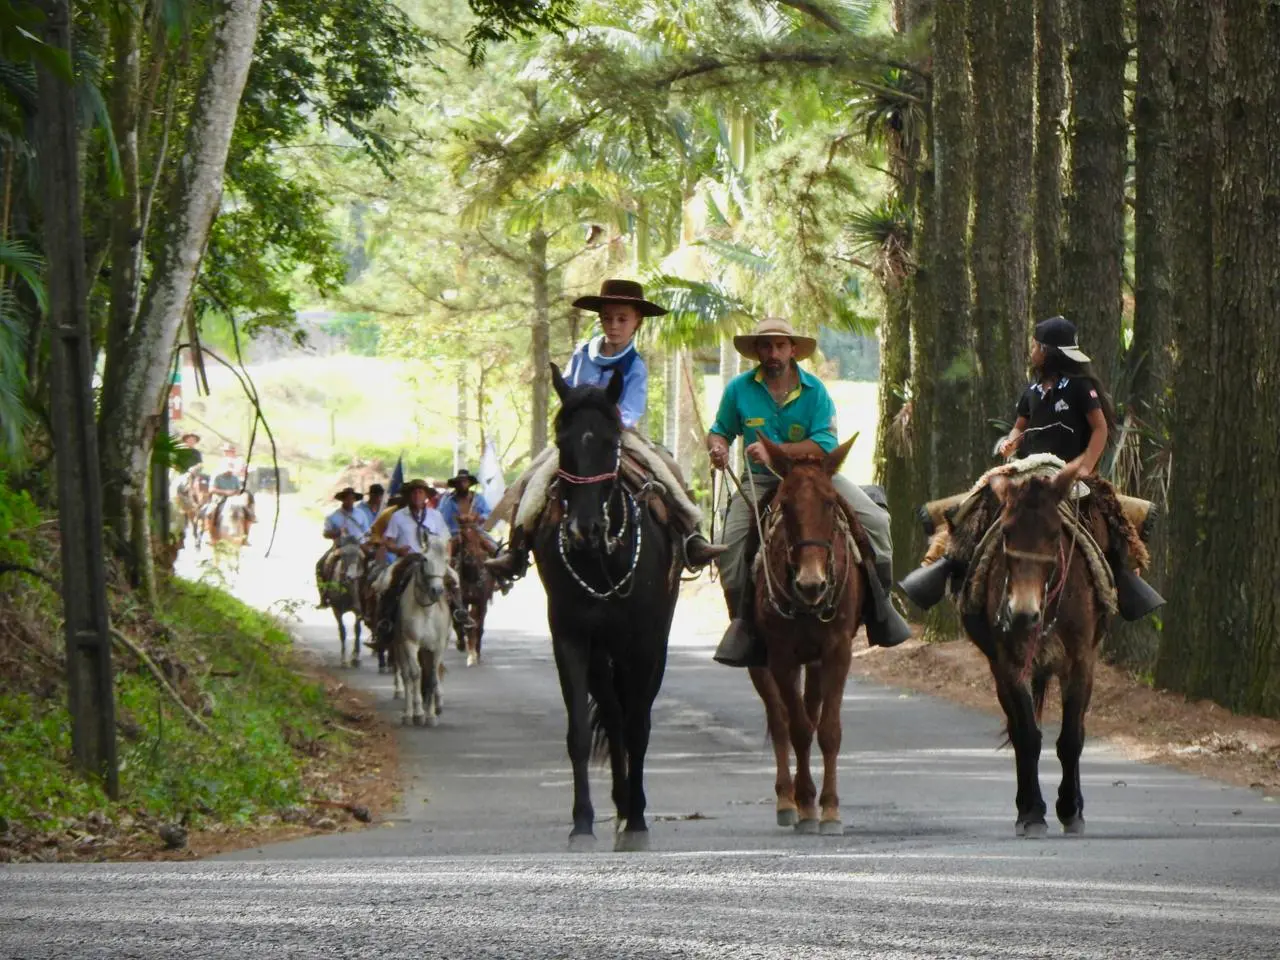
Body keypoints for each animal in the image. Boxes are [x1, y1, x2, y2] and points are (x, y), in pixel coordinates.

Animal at [378, 542, 450, 727]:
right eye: (425, 559)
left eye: (446, 560)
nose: (436, 591)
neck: (426, 611)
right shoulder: (409, 643)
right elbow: (415, 674)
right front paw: (418, 714)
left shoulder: (437, 647)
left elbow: (432, 676)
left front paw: (431, 716)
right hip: (399, 645)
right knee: (406, 676)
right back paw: (408, 714)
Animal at [455, 519, 494, 670]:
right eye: (462, 537)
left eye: (476, 536)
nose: (469, 558)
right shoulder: (463, 601)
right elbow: (466, 624)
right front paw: (470, 655)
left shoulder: (481, 601)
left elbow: (478, 626)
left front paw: (475, 654)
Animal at [532, 363, 686, 849]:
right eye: (562, 439)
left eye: (610, 440)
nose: (584, 528)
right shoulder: (572, 638)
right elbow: (581, 733)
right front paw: (582, 822)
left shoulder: (642, 643)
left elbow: (639, 727)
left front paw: (637, 820)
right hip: (603, 653)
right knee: (614, 716)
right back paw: (618, 802)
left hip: (651, 648)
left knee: (635, 717)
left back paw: (631, 807)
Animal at [747, 435, 865, 834]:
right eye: (785, 505)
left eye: (830, 502)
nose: (811, 584)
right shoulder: (781, 656)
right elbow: (796, 727)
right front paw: (807, 802)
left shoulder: (838, 651)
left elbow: (827, 730)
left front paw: (829, 808)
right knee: (780, 719)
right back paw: (789, 799)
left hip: (814, 660)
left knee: (811, 709)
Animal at [967, 465, 1111, 839]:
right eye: (1006, 531)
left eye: (1053, 532)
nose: (1022, 614)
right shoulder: (1011, 665)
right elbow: (1029, 738)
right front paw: (1032, 813)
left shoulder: (1081, 663)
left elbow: (1071, 738)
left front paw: (1070, 809)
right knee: (1018, 733)